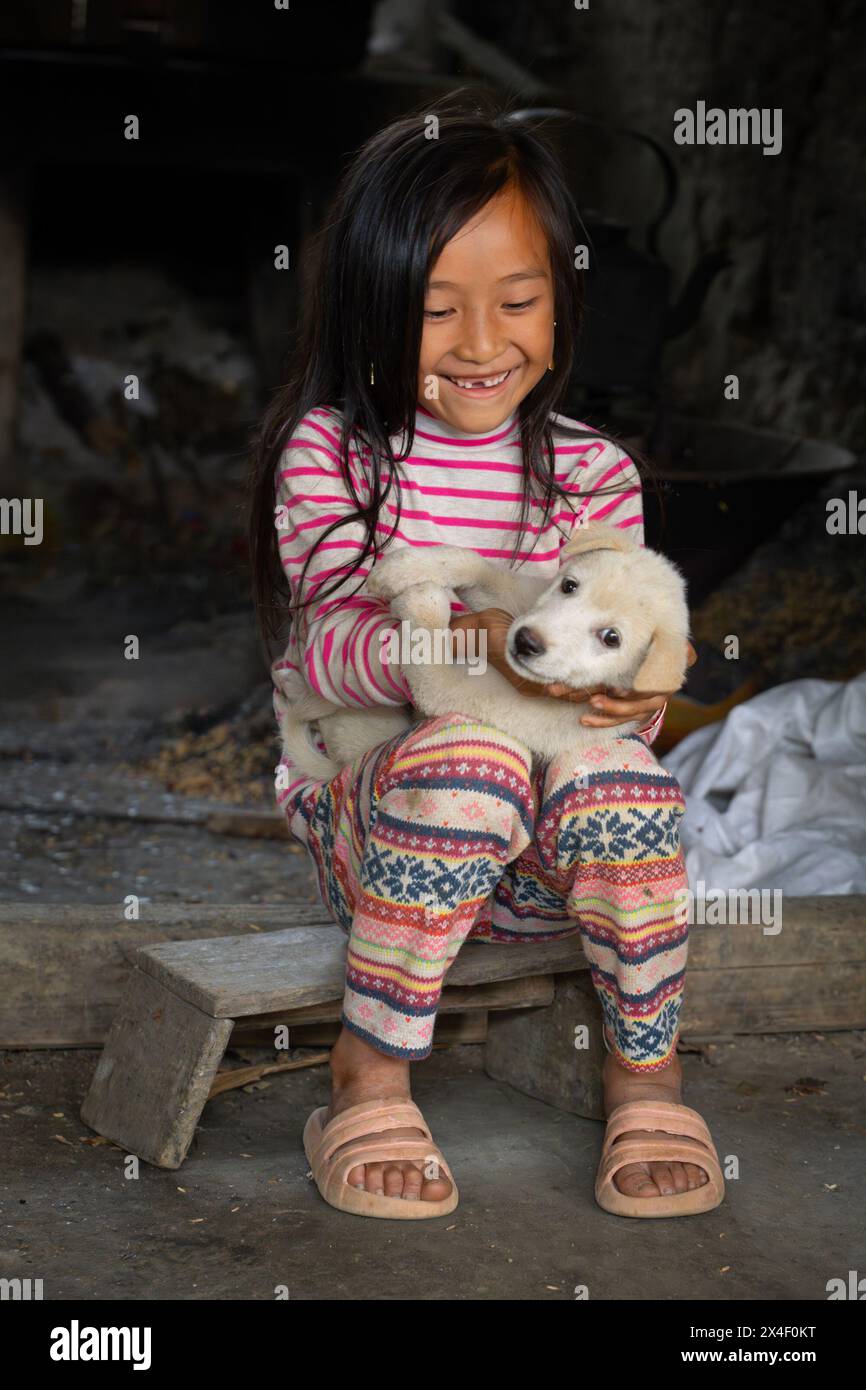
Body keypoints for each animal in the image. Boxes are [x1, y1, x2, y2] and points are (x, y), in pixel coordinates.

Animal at [273, 522, 686, 783]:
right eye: (569, 585)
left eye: (611, 638)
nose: (526, 642)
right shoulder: (514, 600)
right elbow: (475, 564)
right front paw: (404, 568)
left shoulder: (452, 689)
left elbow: (427, 646)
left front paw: (423, 601)